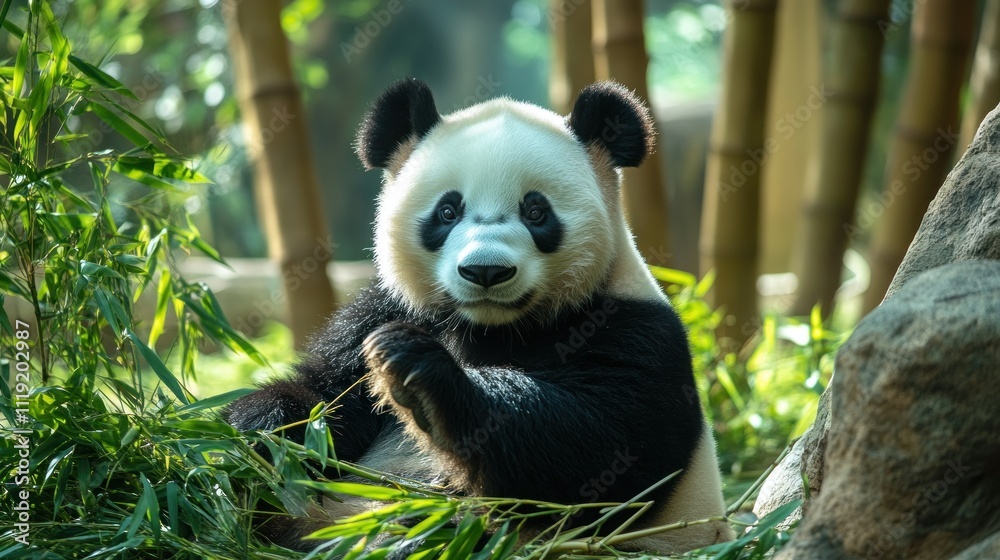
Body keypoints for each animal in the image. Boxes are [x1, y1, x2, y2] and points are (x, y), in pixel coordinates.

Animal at [225, 78, 733, 554]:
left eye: (536, 211)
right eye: (448, 210)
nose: (486, 270)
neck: (492, 326)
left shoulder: (635, 331)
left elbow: (593, 452)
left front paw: (418, 372)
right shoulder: (385, 310)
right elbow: (325, 398)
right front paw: (255, 434)